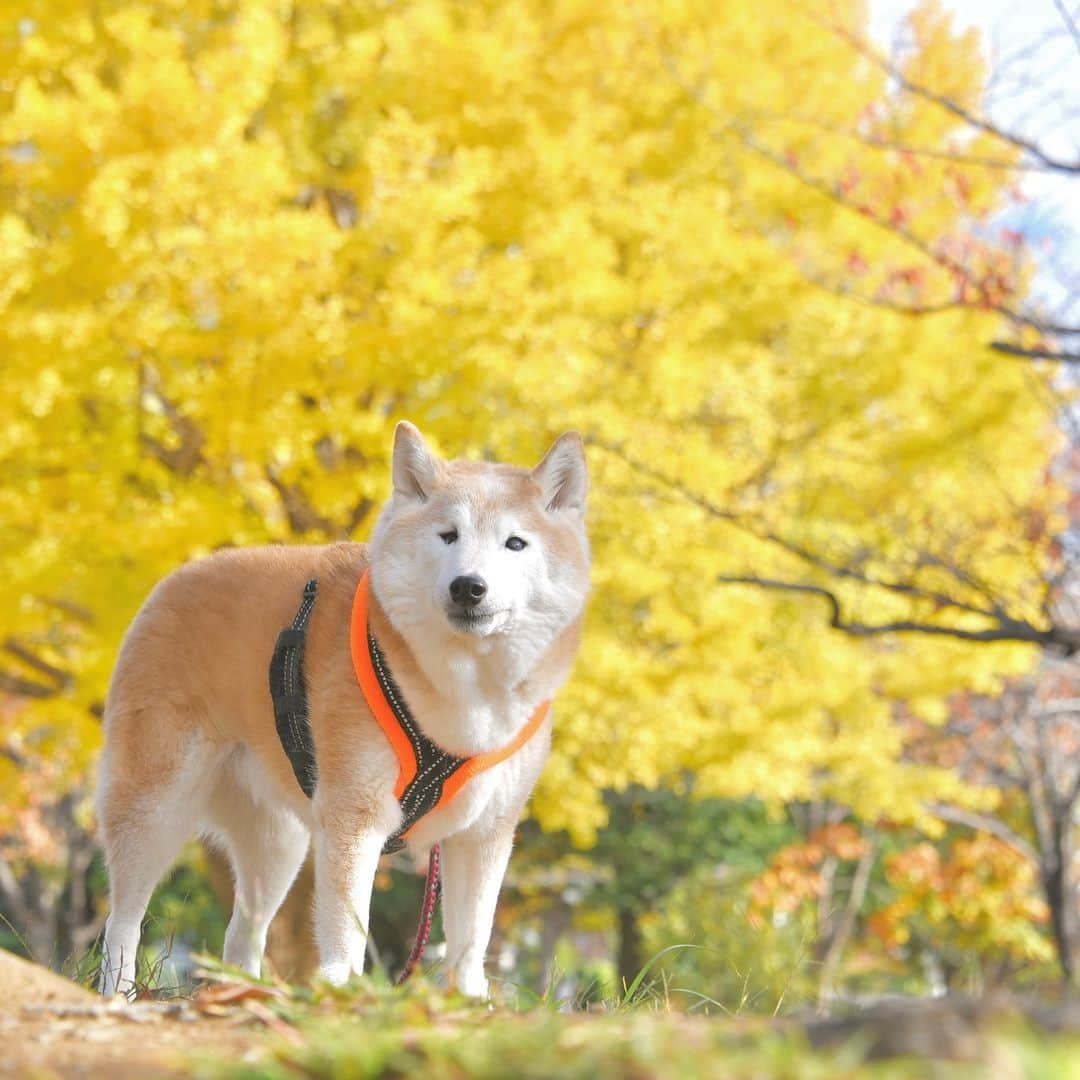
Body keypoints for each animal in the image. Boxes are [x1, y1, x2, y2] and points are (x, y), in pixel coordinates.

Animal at [97, 425, 591, 997]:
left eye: (515, 543)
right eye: (448, 535)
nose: (469, 586)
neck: (463, 697)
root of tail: (173, 579)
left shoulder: (486, 831)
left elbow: (471, 940)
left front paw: (470, 1001)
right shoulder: (356, 813)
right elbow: (347, 922)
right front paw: (342, 989)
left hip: (278, 842)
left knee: (244, 930)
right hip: (156, 805)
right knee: (124, 918)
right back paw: (118, 992)